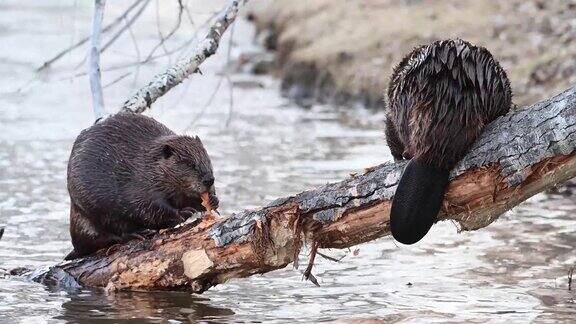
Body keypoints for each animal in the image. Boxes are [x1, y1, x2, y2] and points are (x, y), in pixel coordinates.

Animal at [63, 112, 218, 260]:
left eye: (207, 160)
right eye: (190, 164)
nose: (209, 180)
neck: (148, 163)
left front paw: (212, 201)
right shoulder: (139, 184)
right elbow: (148, 207)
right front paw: (185, 212)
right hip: (89, 213)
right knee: (109, 234)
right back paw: (139, 233)